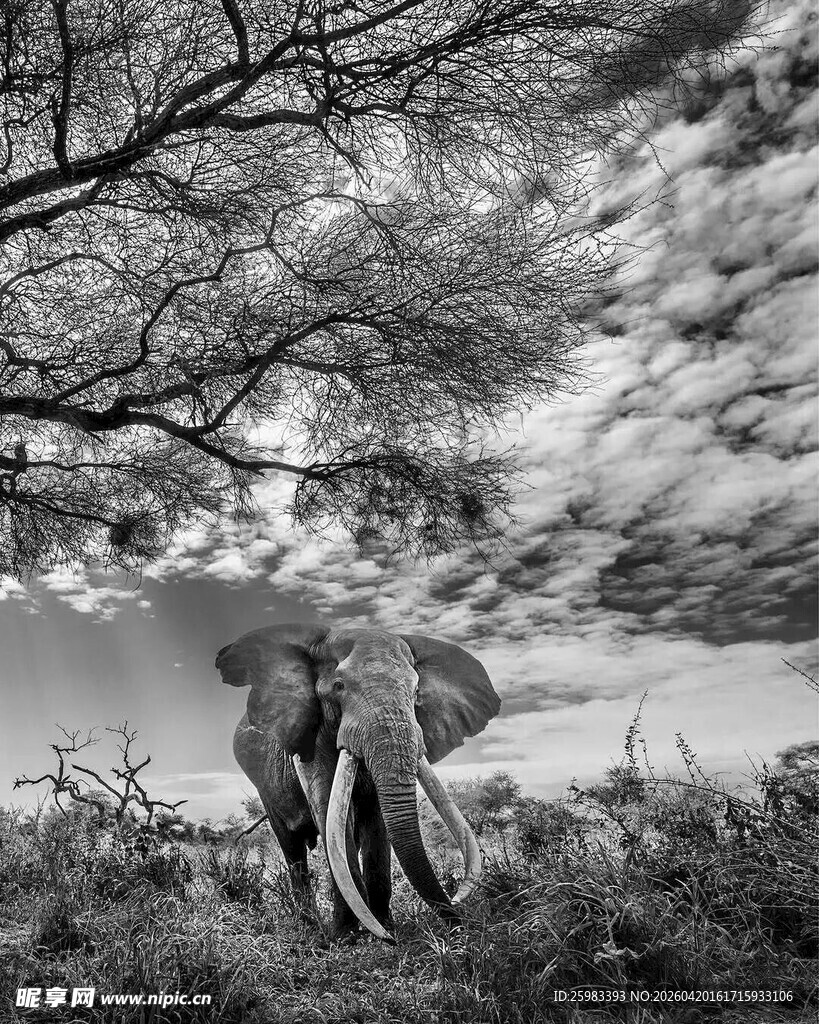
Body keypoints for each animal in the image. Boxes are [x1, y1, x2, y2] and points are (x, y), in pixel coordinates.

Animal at [216, 622, 500, 941]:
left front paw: (386, 928)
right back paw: (309, 924)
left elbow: (377, 823)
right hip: (266, 789)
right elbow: (330, 811)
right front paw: (347, 937)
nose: (459, 922)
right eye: (339, 686)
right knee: (293, 850)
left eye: (416, 691)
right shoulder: (309, 738)